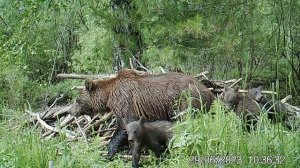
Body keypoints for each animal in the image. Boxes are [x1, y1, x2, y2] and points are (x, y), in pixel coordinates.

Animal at [67, 68, 213, 160]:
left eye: (77, 99)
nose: (70, 110)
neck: (108, 96)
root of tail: (209, 91)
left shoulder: (125, 102)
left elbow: (124, 125)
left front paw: (111, 152)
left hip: (185, 101)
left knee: (186, 121)